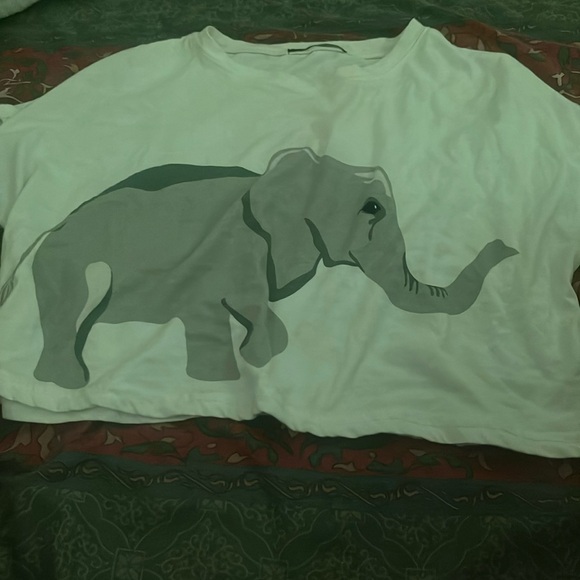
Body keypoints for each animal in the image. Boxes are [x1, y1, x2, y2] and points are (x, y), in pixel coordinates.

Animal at [18, 147, 518, 389]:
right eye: (373, 208)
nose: (508, 246)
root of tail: (43, 234)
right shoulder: (236, 249)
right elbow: (233, 307)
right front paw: (235, 370)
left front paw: (244, 362)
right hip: (68, 265)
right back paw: (70, 386)